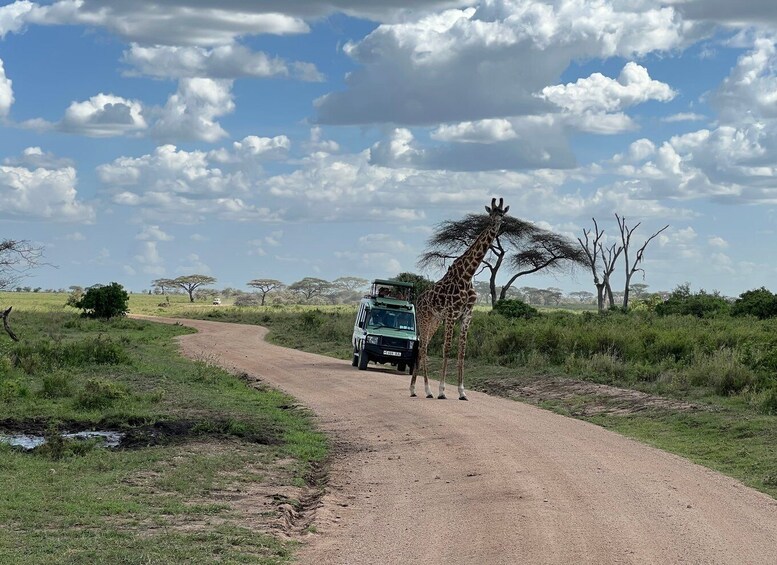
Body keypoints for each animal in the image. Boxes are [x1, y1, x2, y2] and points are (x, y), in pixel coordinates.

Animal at [406, 198, 510, 400]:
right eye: (490, 214)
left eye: (502, 214)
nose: (496, 225)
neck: (467, 275)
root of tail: (419, 299)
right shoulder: (451, 314)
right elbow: (447, 349)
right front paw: (442, 390)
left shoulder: (466, 316)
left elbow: (462, 352)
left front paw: (462, 391)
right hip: (424, 318)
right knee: (423, 348)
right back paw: (426, 390)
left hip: (435, 321)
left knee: (424, 347)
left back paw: (416, 389)